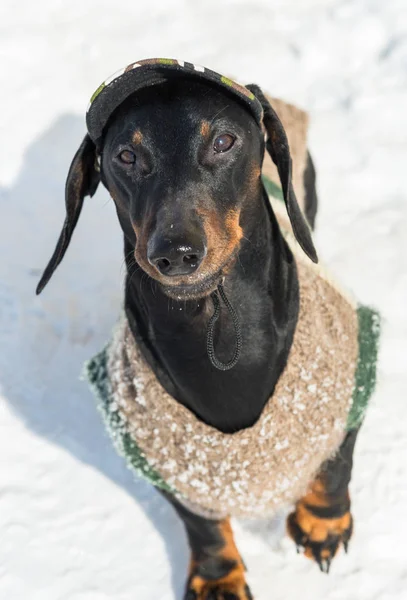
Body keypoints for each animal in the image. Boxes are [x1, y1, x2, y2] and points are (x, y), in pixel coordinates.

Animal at [36, 57, 380, 600]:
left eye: (223, 141)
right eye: (125, 155)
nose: (175, 253)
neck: (212, 318)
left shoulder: (350, 367)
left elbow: (334, 463)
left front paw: (322, 525)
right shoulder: (158, 449)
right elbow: (201, 522)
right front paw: (219, 577)